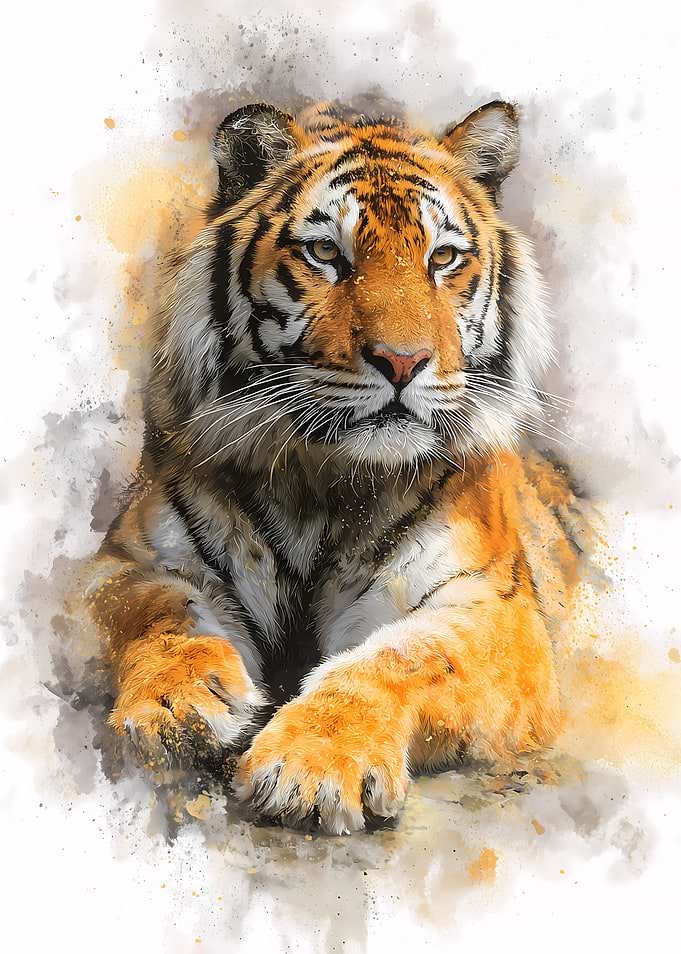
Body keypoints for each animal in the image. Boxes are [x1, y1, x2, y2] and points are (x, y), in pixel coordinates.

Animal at [87, 99, 579, 835]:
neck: (322, 480)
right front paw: (178, 709)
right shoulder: (126, 562)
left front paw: (310, 767)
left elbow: (401, 658)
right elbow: (159, 611)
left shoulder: (493, 608)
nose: (403, 361)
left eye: (442, 258)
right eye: (325, 254)